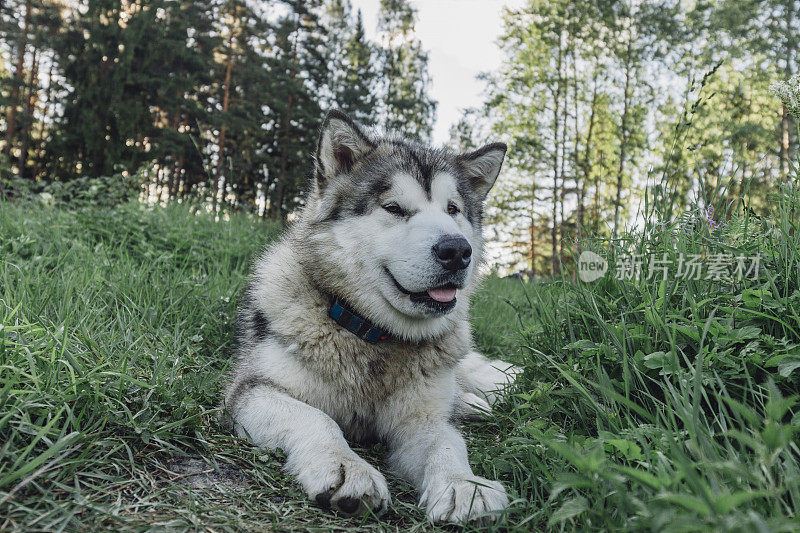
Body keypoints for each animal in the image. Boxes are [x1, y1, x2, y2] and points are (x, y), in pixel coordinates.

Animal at [225, 109, 520, 524]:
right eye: (394, 208)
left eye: (453, 210)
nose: (456, 250)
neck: (375, 337)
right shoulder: (254, 391)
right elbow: (315, 417)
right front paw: (347, 466)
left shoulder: (420, 420)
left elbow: (447, 440)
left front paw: (463, 484)